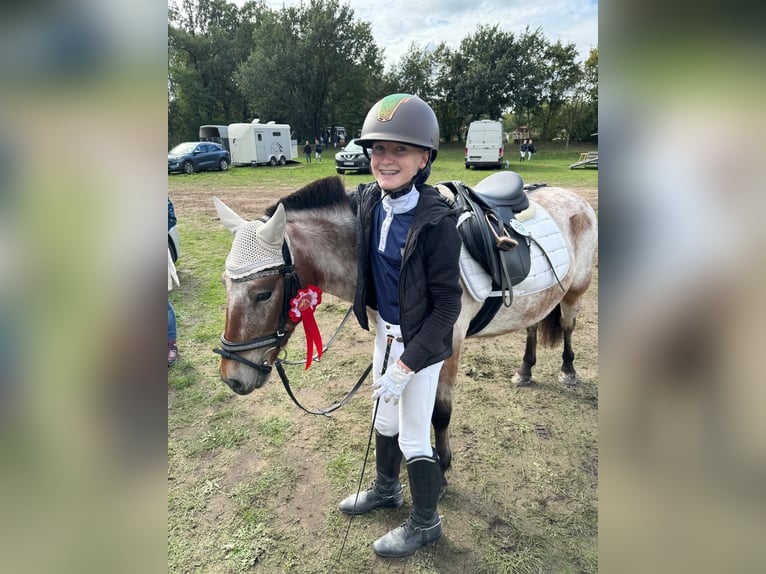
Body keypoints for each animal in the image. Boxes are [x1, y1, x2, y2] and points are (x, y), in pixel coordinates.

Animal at [213, 176, 596, 482]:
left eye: (263, 293)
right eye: (224, 286)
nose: (232, 377)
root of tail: (572, 197)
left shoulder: (447, 344)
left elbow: (440, 412)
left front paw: (441, 466)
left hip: (574, 292)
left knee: (567, 325)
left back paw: (568, 370)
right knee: (533, 327)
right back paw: (525, 370)